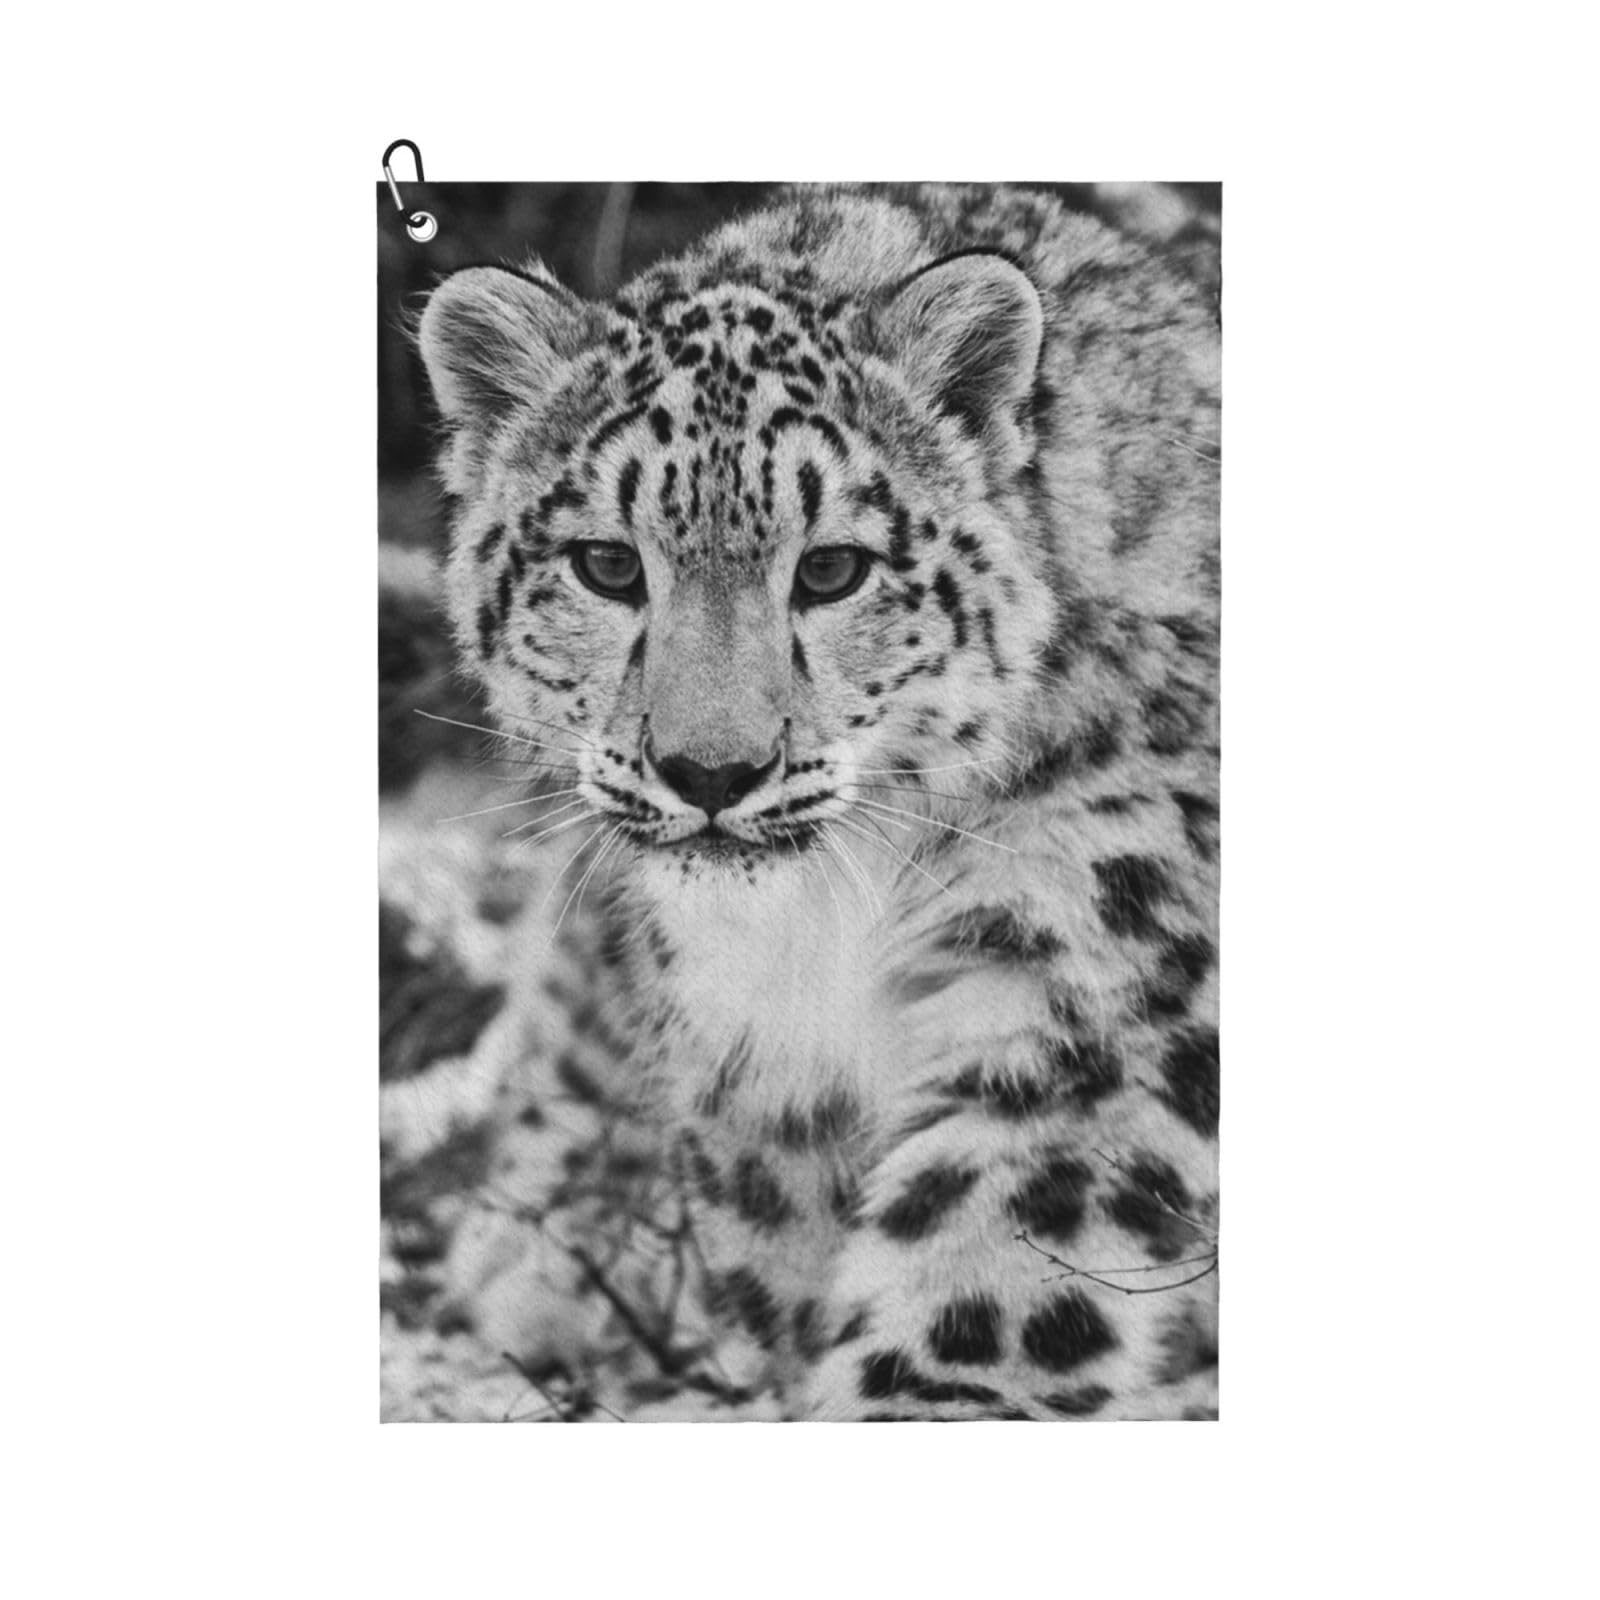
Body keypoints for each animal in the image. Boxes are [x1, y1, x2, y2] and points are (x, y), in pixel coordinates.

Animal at [399, 183, 1219, 1421]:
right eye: (605, 564)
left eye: (832, 570)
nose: (709, 771)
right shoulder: (753, 1049)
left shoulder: (1095, 950)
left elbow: (995, 1245)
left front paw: (919, 1390)